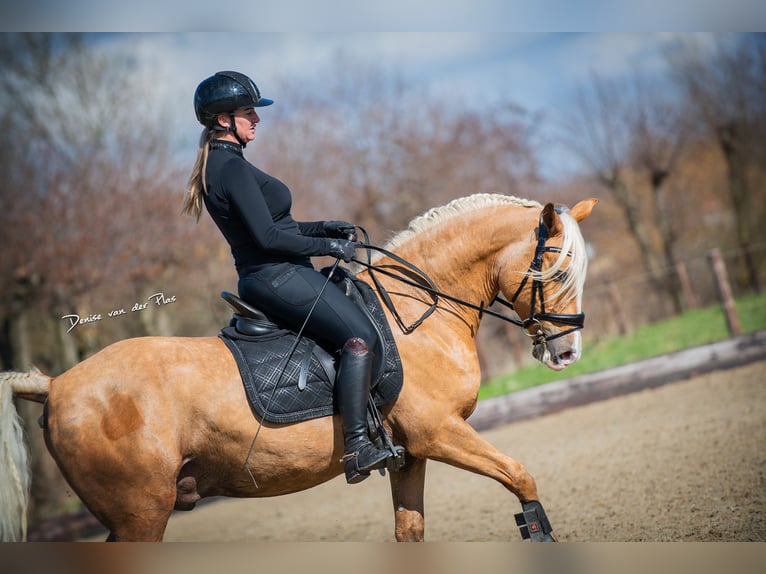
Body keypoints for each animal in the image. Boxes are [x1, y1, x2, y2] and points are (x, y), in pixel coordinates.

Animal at [0, 196, 600, 544]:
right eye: (557, 270)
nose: (568, 353)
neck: (416, 313)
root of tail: (57, 384)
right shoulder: (439, 431)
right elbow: (521, 476)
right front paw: (540, 534)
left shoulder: (412, 452)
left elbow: (410, 531)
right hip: (140, 514)